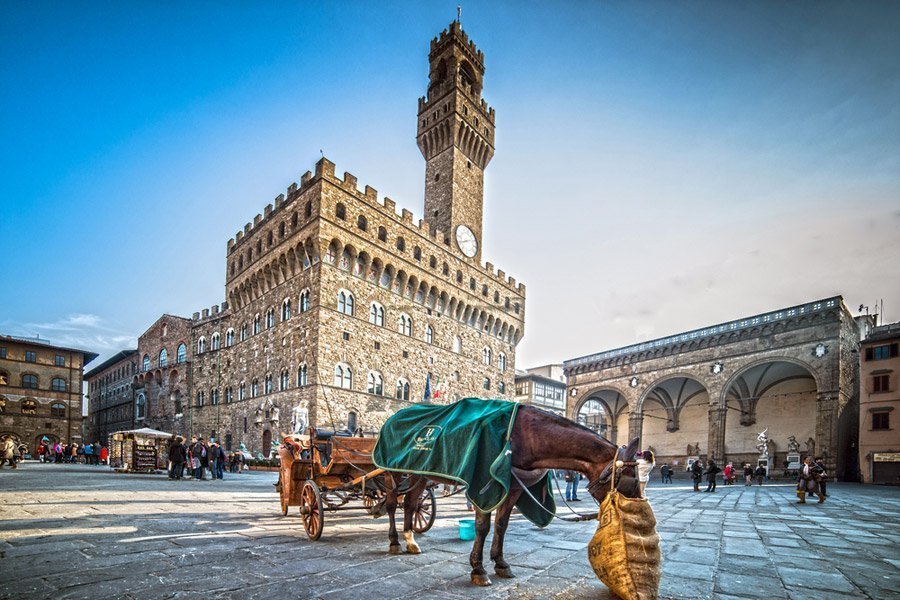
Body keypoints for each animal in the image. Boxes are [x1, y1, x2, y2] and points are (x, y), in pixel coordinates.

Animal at [384, 404, 644, 584]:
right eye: (631, 479)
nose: (636, 517)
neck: (528, 437)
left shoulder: (514, 489)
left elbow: (501, 525)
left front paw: (500, 563)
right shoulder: (484, 484)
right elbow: (483, 527)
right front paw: (478, 569)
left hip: (419, 474)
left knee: (410, 503)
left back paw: (411, 541)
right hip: (391, 473)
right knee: (391, 504)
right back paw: (395, 541)